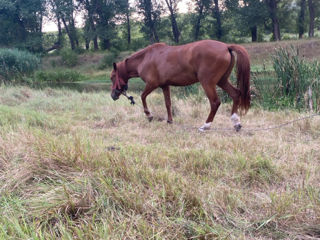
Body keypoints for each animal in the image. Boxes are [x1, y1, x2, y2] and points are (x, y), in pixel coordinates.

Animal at [110, 40, 250, 132]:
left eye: (112, 77)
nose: (113, 95)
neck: (146, 58)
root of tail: (226, 46)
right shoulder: (165, 86)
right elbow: (168, 103)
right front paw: (169, 120)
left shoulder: (152, 84)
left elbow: (143, 96)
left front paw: (149, 116)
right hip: (222, 81)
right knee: (235, 94)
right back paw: (236, 122)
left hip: (208, 83)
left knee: (215, 102)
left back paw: (205, 126)